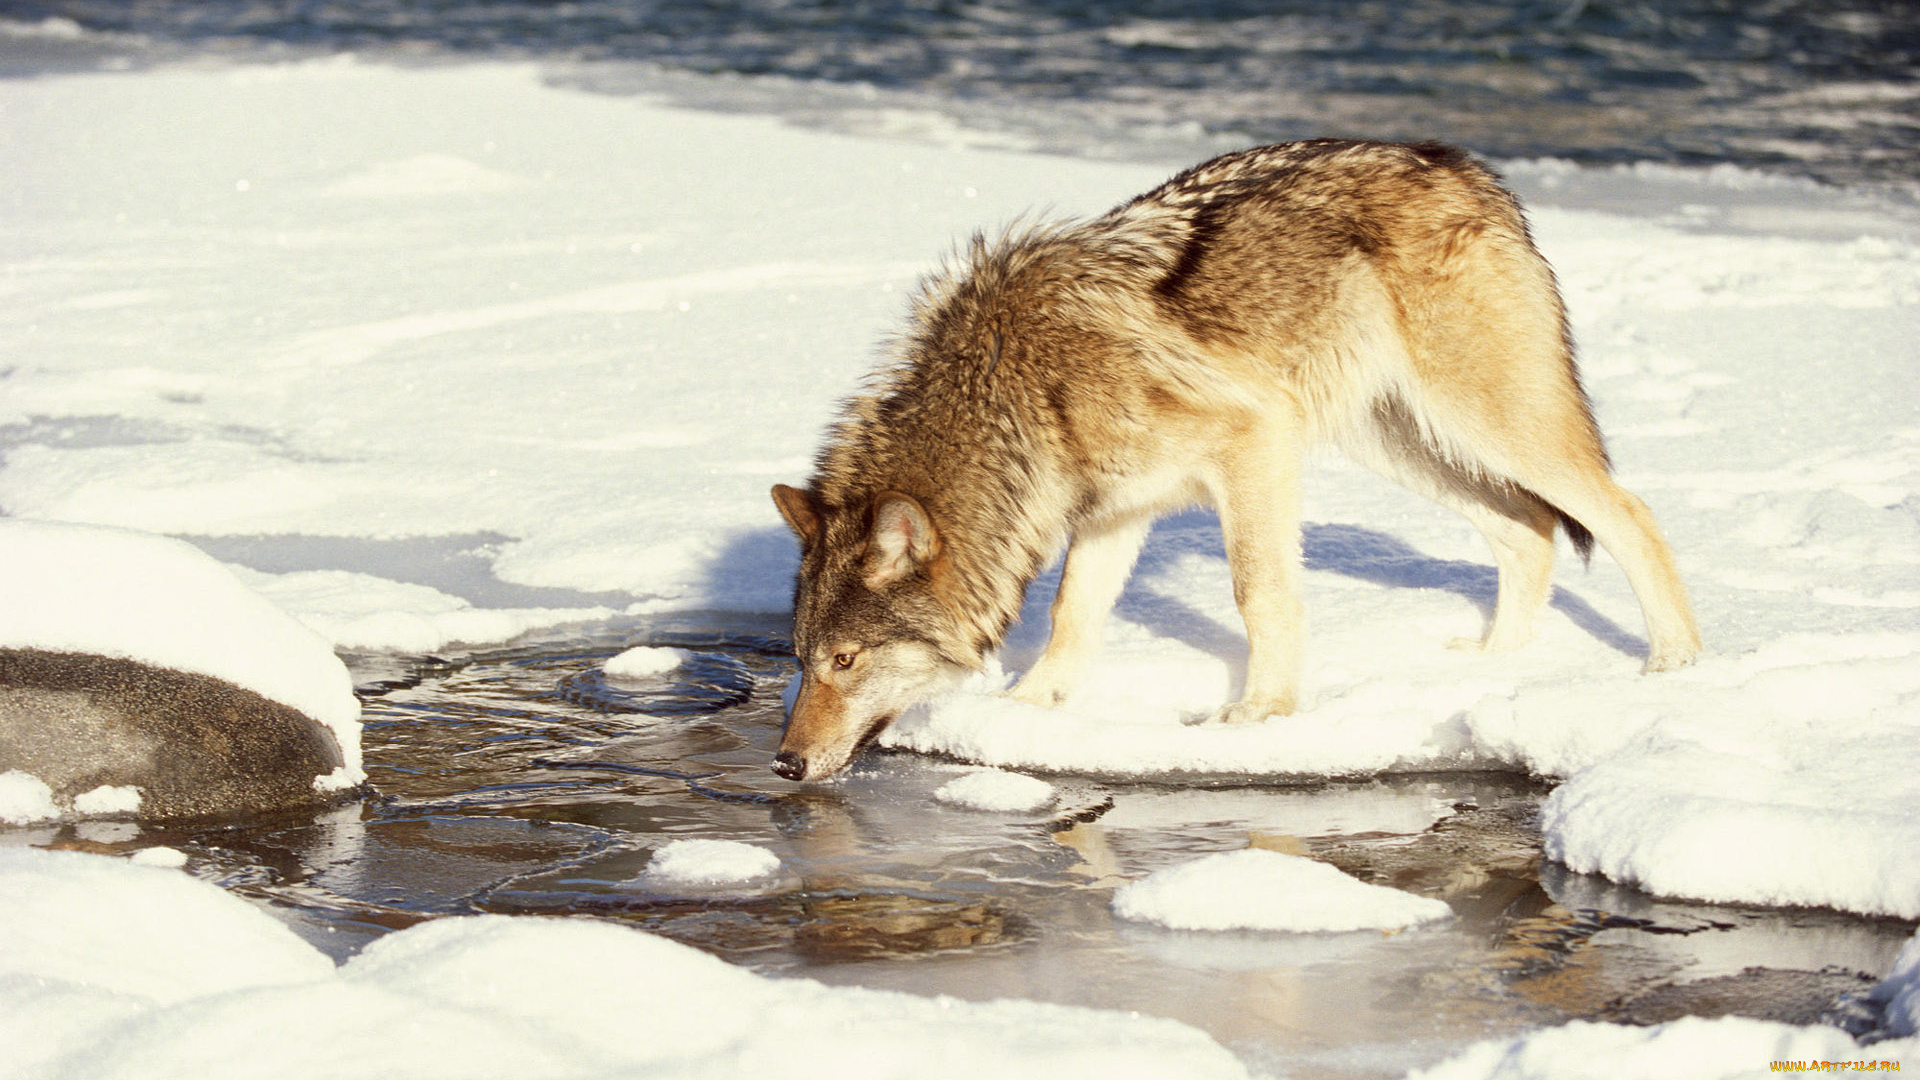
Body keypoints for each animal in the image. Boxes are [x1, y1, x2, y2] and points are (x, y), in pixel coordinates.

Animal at [764, 141, 1697, 780]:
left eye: (846, 661)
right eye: (803, 659)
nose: (783, 764)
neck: (1016, 391)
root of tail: (1470, 169)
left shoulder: (1252, 444)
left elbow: (1259, 594)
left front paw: (1261, 716)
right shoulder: (1113, 509)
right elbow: (1071, 617)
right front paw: (1025, 713)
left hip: (1486, 425)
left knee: (1629, 513)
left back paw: (1673, 667)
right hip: (1402, 442)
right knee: (1529, 530)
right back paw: (1491, 664)